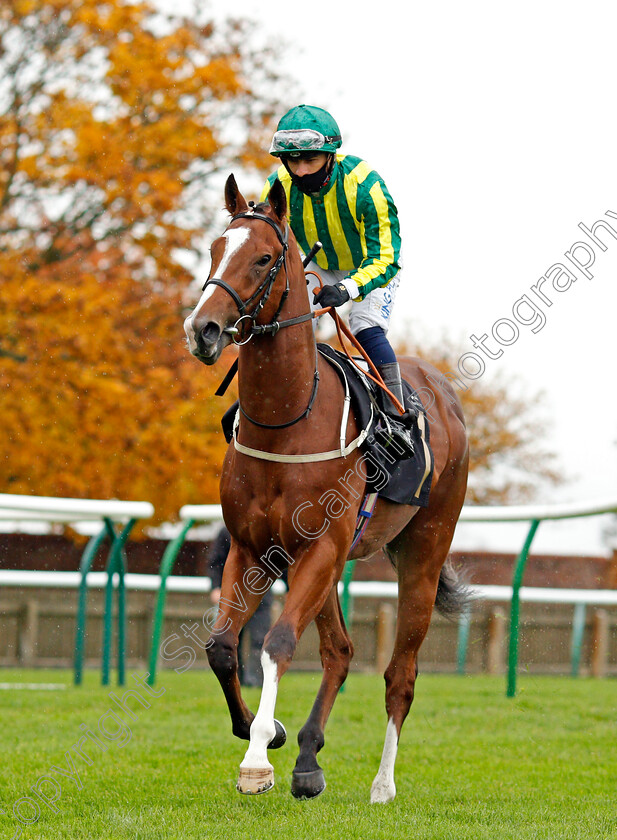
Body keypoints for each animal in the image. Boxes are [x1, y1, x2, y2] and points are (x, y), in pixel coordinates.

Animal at [182, 174, 466, 804]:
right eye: (215, 249)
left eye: (264, 258)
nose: (202, 330)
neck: (286, 422)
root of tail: (443, 393)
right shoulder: (254, 549)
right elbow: (222, 647)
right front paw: (269, 733)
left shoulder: (319, 547)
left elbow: (278, 645)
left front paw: (257, 759)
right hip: (330, 562)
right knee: (340, 652)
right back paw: (308, 761)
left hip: (422, 551)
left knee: (400, 673)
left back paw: (382, 784)